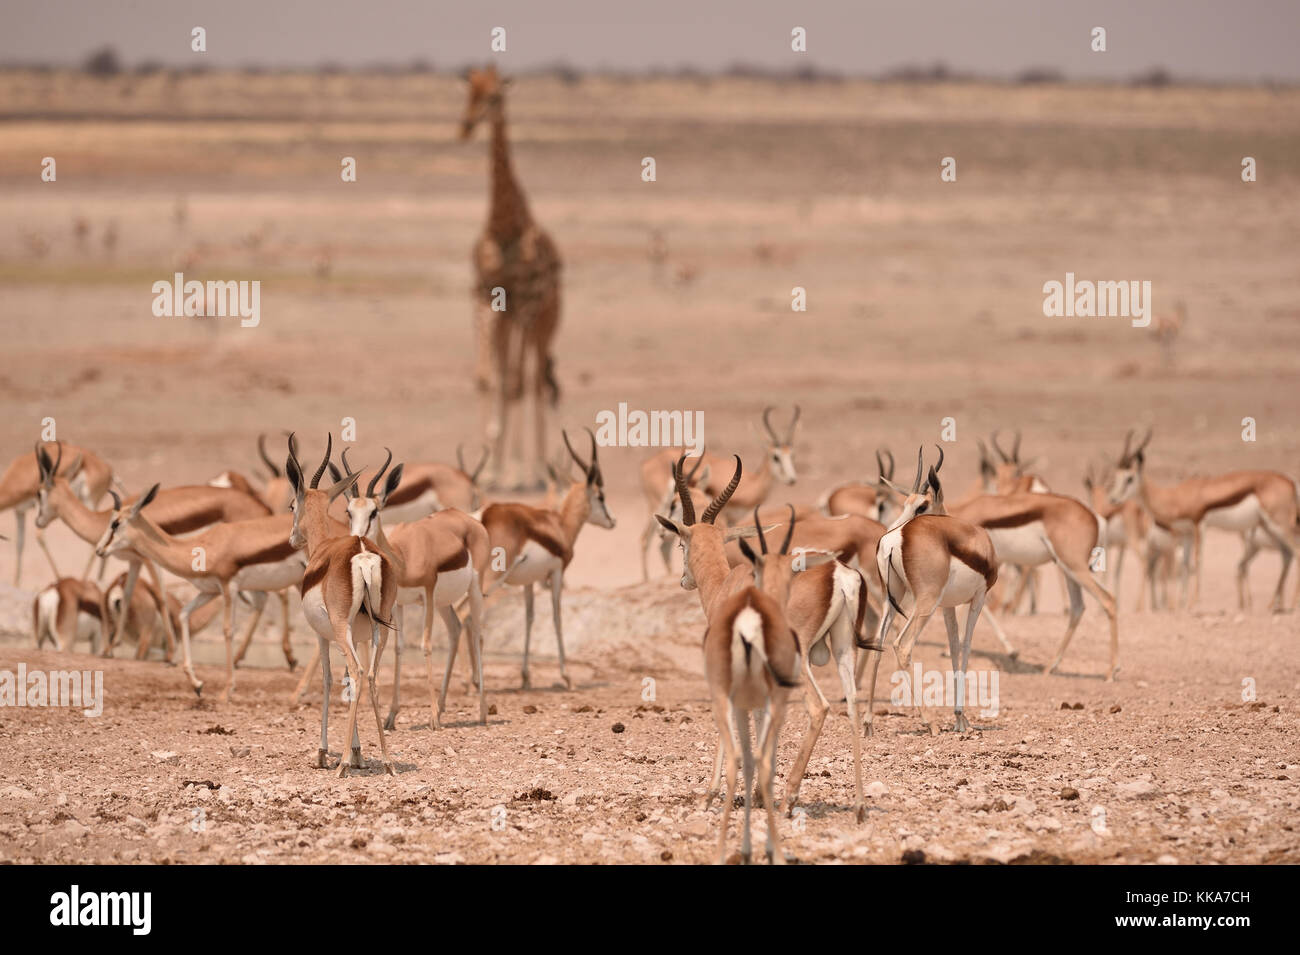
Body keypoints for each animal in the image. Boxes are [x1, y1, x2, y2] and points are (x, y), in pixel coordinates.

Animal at [287, 436, 397, 774]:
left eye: (292, 505)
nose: (292, 539)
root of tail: (361, 553)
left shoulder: (324, 636)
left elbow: (328, 680)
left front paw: (324, 752)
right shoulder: (356, 636)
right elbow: (350, 681)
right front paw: (360, 751)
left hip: (341, 630)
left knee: (358, 673)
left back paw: (342, 765)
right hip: (380, 632)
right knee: (371, 676)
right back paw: (387, 760)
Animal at [480, 428, 616, 691]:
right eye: (601, 496)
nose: (613, 521)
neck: (560, 526)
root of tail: (485, 517)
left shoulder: (529, 581)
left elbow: (529, 618)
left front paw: (525, 677)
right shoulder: (557, 573)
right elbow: (557, 616)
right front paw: (567, 676)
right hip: (490, 578)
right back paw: (471, 681)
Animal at [1107, 431, 1300, 613]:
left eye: (1129, 478)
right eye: (1116, 476)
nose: (1113, 499)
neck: (1175, 497)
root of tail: (1290, 483)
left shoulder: (1199, 524)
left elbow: (1198, 560)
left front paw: (1193, 603)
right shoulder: (1186, 533)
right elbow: (1185, 565)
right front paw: (1181, 604)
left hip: (1279, 525)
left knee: (1295, 551)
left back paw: (1292, 605)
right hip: (1267, 527)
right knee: (1286, 555)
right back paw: (1272, 606)